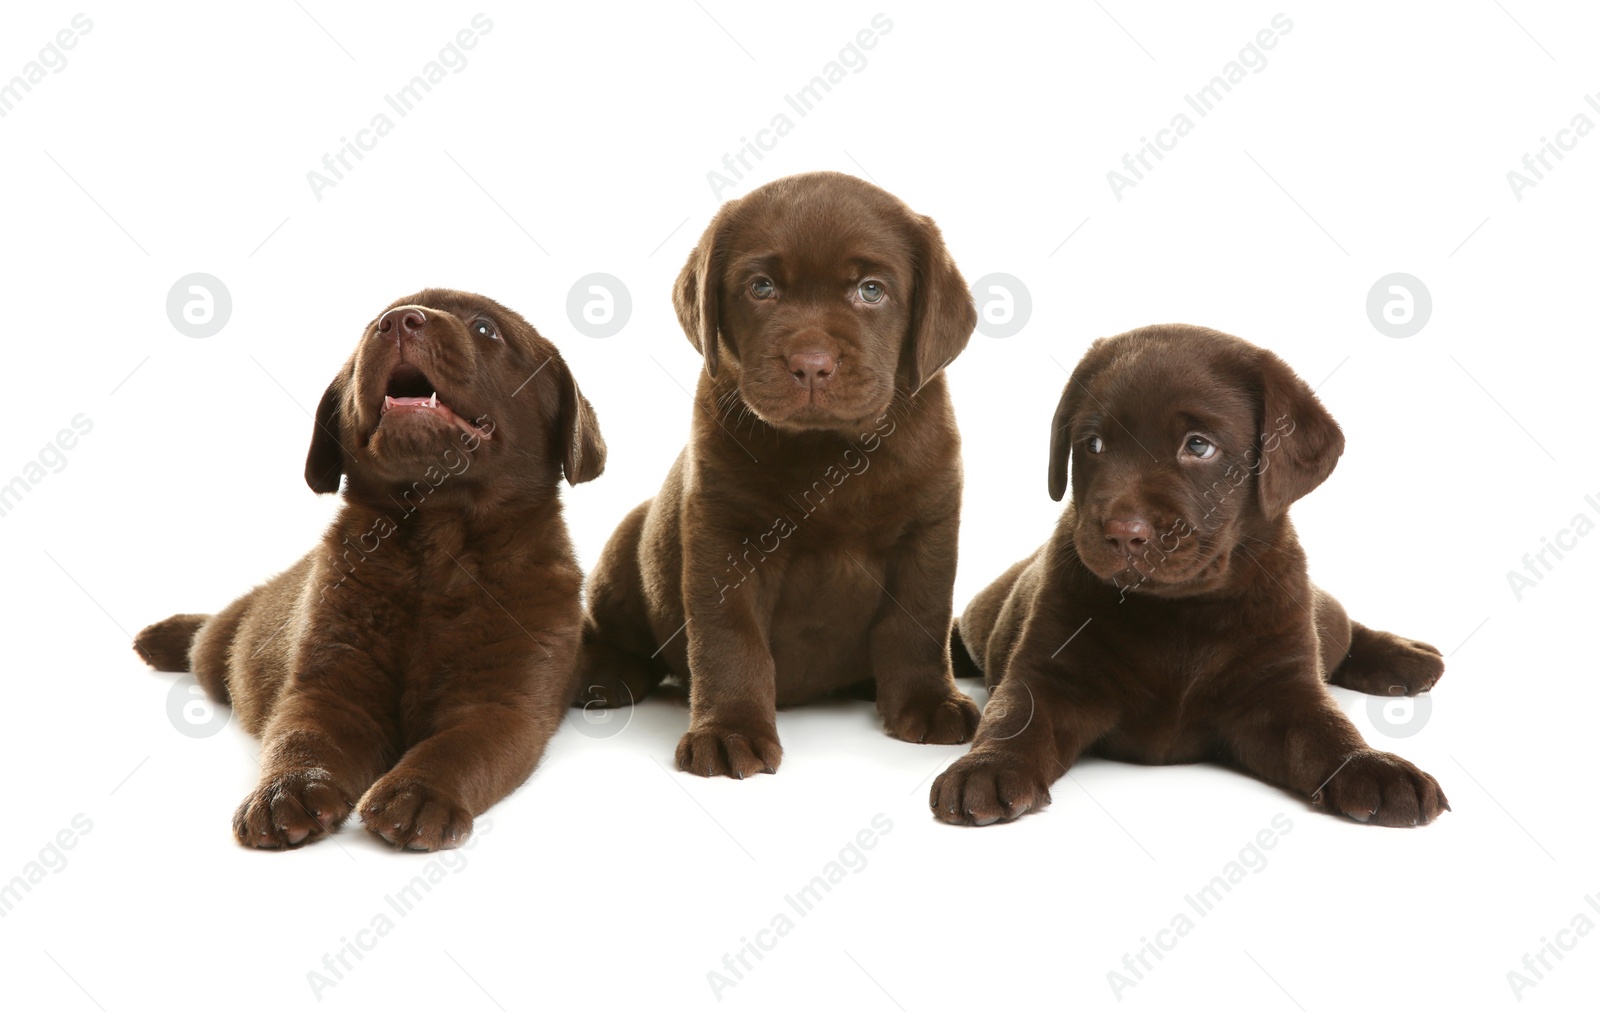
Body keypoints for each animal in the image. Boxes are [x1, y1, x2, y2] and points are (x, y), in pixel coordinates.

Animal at [131, 288, 601, 851]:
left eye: (486, 329)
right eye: (369, 328)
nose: (397, 321)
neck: (436, 541)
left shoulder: (503, 703)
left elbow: (457, 748)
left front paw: (417, 795)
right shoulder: (327, 686)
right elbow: (302, 737)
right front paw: (286, 793)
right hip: (219, 653)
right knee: (202, 638)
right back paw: (161, 637)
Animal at [934, 328, 1452, 826]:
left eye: (1199, 445)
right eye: (1093, 444)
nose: (1123, 534)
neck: (1180, 610)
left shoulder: (1283, 690)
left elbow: (1328, 730)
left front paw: (1373, 766)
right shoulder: (1048, 674)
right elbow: (1014, 716)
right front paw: (988, 767)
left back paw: (1406, 657)